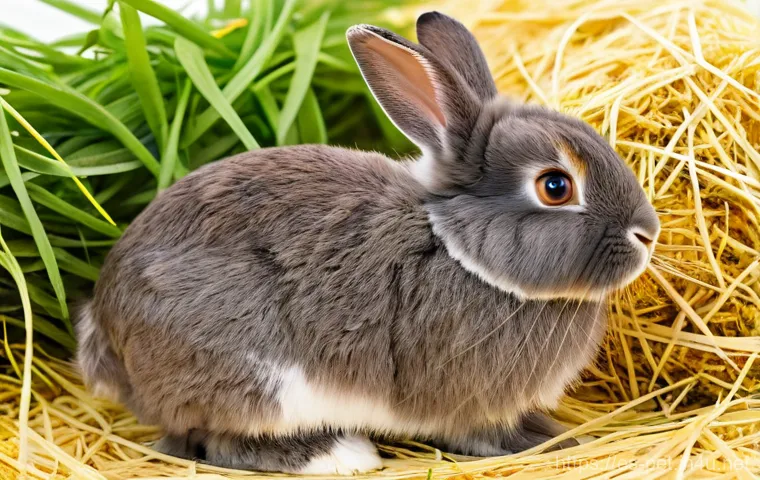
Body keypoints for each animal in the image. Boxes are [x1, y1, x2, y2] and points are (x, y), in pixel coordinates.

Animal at [75, 11, 660, 475]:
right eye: (555, 187)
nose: (647, 234)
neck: (461, 252)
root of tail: (105, 329)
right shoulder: (461, 401)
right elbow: (479, 434)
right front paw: (548, 443)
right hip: (255, 376)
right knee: (220, 441)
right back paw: (337, 454)